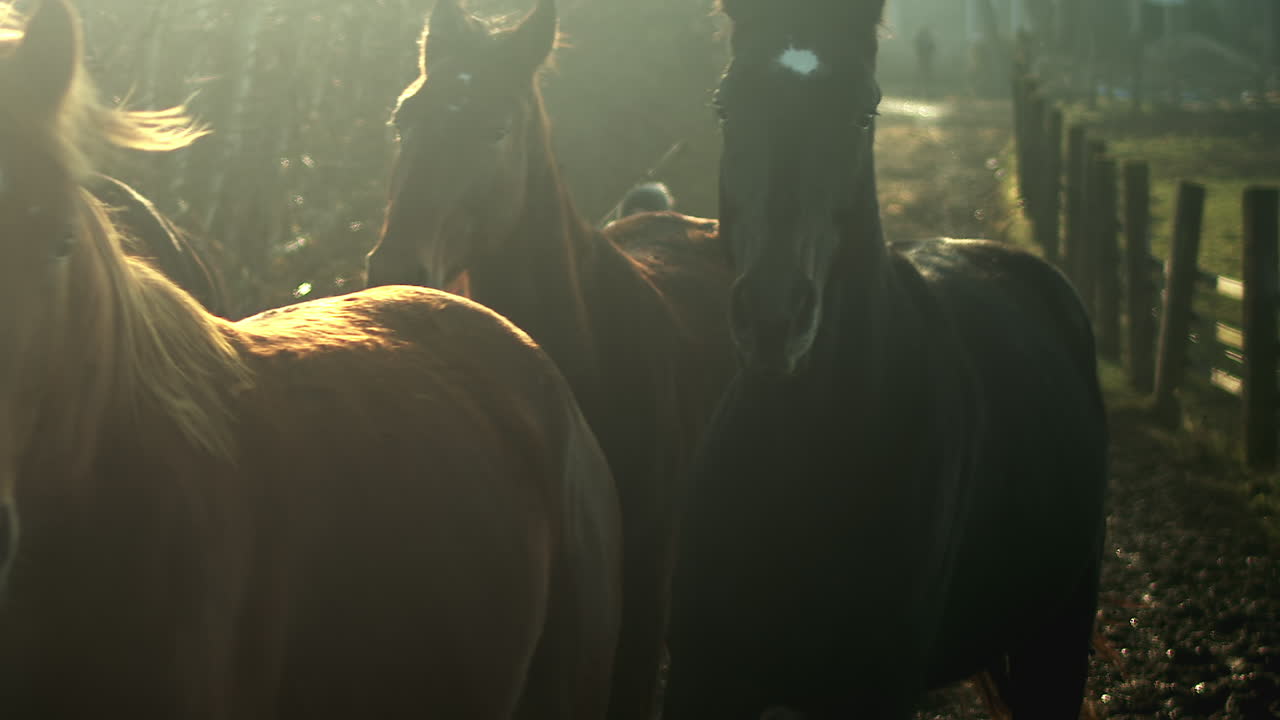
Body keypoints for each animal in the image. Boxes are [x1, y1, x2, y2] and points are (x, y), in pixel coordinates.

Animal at [663, 1, 1109, 718]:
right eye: (725, 106)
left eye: (864, 112)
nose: (774, 318)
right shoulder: (701, 676)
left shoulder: (879, 687)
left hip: (1058, 638)